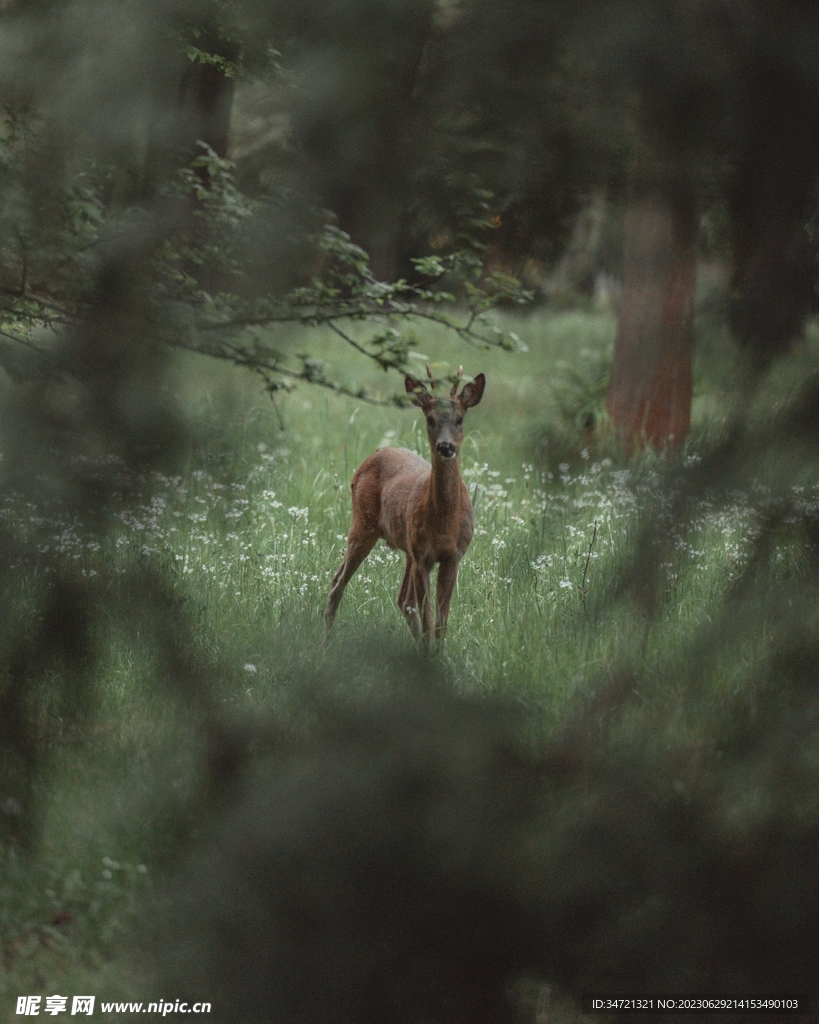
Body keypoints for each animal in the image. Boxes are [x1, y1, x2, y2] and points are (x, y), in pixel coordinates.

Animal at [325, 368, 487, 638]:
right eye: (430, 419)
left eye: (459, 419)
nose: (446, 446)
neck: (444, 522)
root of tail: (376, 453)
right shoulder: (423, 556)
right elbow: (428, 619)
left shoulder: (453, 556)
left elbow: (440, 622)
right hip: (363, 524)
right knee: (337, 585)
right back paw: (325, 641)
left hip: (406, 547)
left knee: (403, 600)